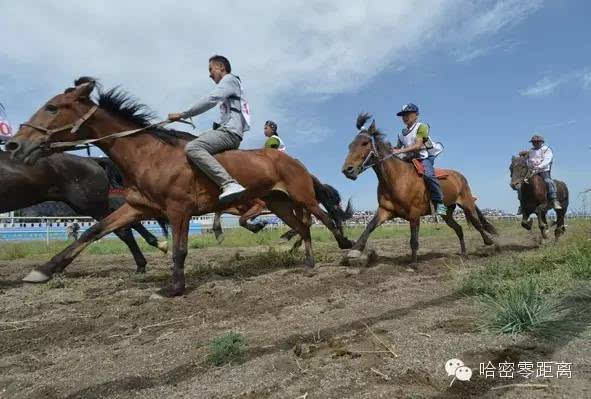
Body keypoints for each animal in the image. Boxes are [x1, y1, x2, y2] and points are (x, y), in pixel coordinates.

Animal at [340, 114, 498, 264]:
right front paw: (354, 251)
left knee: (478, 224)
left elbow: (414, 240)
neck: (397, 178)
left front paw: (414, 264)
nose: (347, 170)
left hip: (467, 204)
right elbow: (369, 227)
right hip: (447, 214)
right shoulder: (385, 210)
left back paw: (490, 243)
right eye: (350, 145)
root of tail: (460, 177)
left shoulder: (414, 214)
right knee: (459, 229)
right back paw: (464, 254)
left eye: (365, 143)